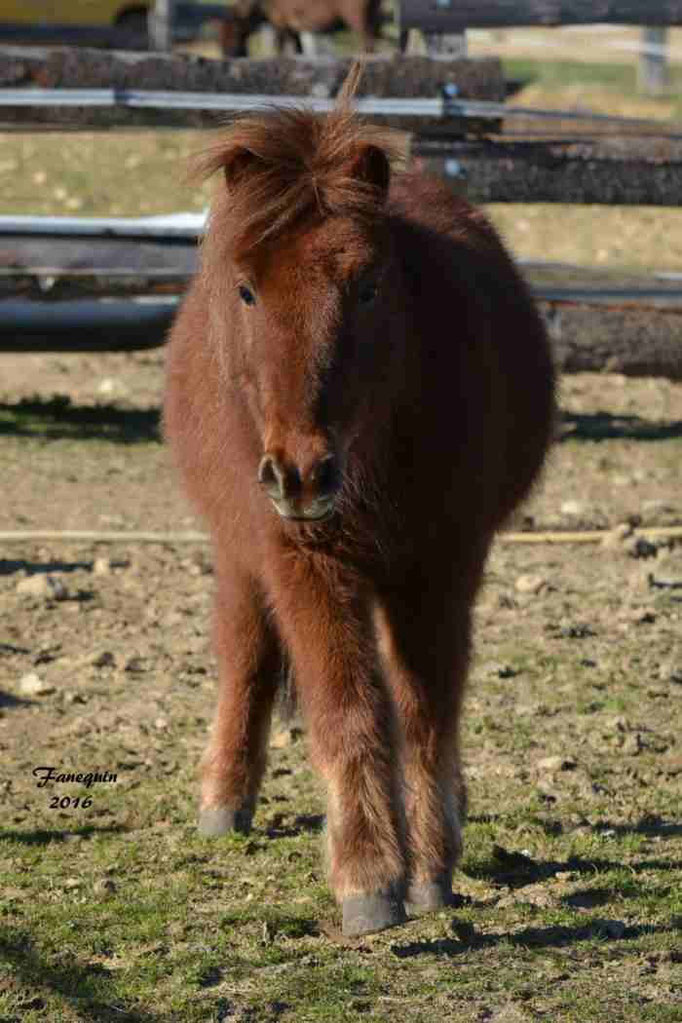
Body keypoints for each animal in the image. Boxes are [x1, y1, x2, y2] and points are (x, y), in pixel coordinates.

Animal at [163, 65, 556, 937]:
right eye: (246, 289)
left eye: (368, 285)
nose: (301, 474)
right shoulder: (302, 561)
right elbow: (347, 707)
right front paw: (371, 876)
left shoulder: (441, 564)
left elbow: (425, 710)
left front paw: (431, 867)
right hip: (243, 552)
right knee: (247, 653)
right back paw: (224, 799)